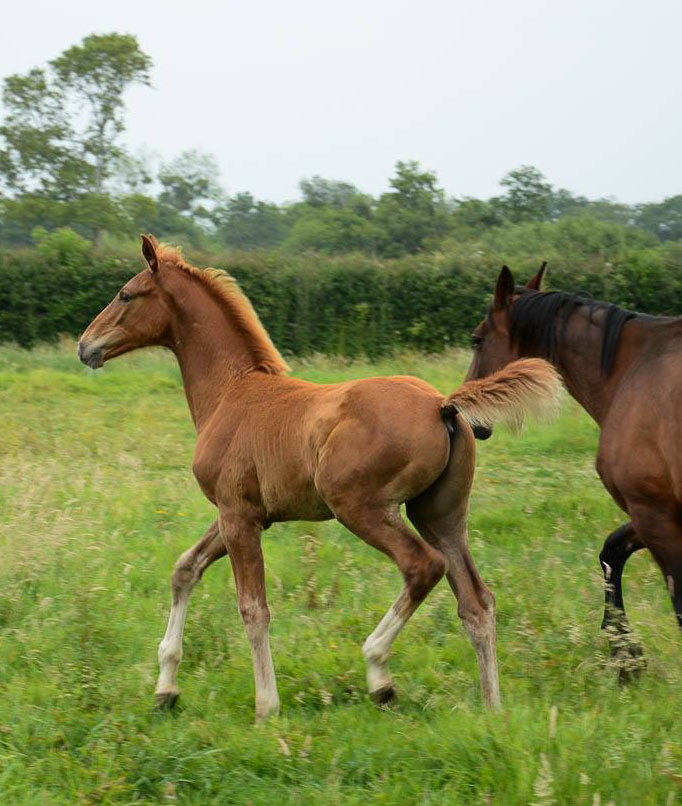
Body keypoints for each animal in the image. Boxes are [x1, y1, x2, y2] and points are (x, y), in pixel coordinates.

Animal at [79, 235, 560, 720]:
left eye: (125, 294)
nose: (85, 346)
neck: (231, 392)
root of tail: (442, 405)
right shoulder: (241, 514)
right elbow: (184, 569)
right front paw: (165, 689)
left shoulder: (238, 517)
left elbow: (253, 609)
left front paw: (266, 705)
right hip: (439, 514)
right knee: (476, 602)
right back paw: (492, 708)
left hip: (360, 506)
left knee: (422, 566)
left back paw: (379, 674)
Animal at [468, 264, 680, 676]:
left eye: (477, 340)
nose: (469, 421)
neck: (632, 370)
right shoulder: (648, 513)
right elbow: (611, 552)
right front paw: (626, 657)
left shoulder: (654, 512)